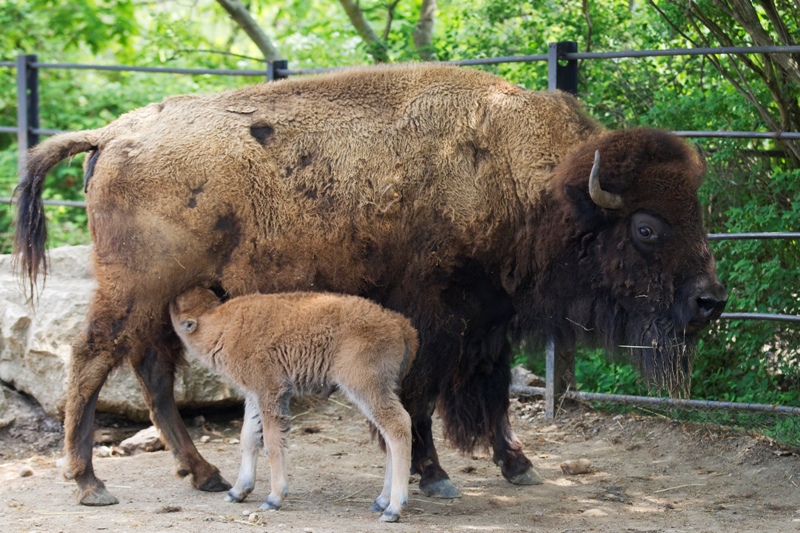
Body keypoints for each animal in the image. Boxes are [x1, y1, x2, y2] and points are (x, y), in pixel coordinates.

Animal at [170, 288, 418, 520]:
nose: (174, 297)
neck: (222, 324)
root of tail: (399, 324)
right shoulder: (253, 396)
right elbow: (248, 439)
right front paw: (237, 492)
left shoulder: (271, 392)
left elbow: (271, 442)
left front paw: (274, 498)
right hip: (381, 390)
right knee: (388, 434)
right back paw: (381, 501)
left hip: (365, 387)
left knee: (398, 426)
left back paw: (393, 509)